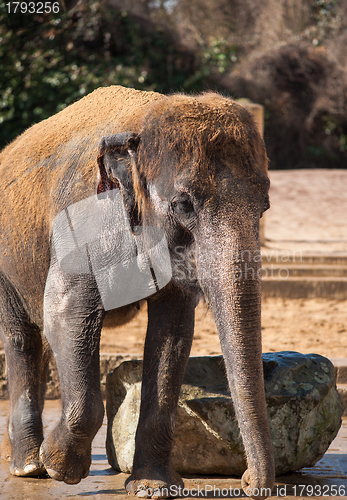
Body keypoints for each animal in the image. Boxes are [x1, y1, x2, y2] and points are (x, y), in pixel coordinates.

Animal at [0, 87, 274, 500]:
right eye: (183, 205)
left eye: (264, 206)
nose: (247, 482)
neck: (142, 122)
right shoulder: (84, 221)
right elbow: (65, 312)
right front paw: (62, 467)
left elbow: (173, 332)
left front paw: (153, 487)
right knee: (22, 336)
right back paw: (31, 467)